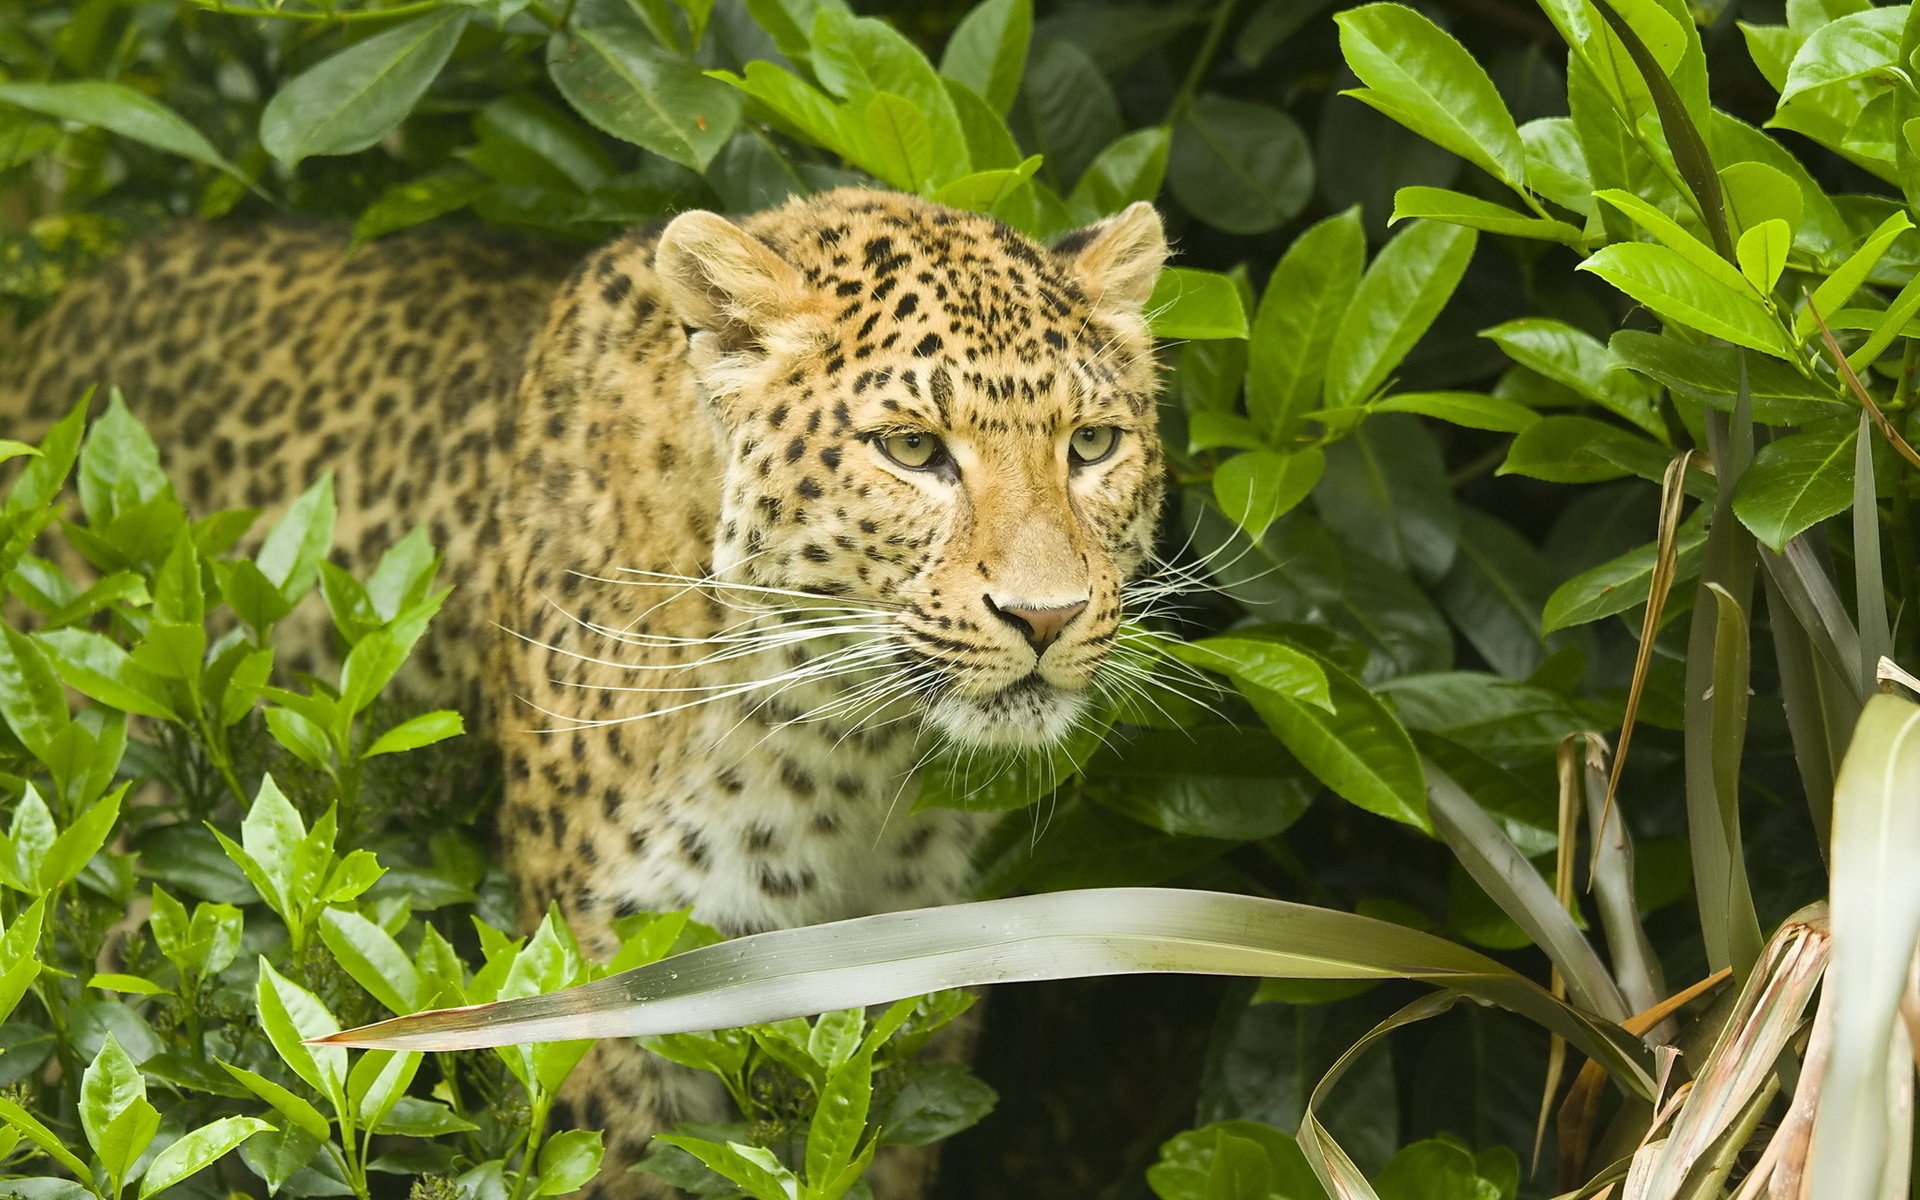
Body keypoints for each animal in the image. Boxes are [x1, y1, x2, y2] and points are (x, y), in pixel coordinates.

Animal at [1, 186, 1170, 1196]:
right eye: (914, 449)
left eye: (1093, 444)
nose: (1047, 617)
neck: (857, 756)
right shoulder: (626, 993)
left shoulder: (920, 985)